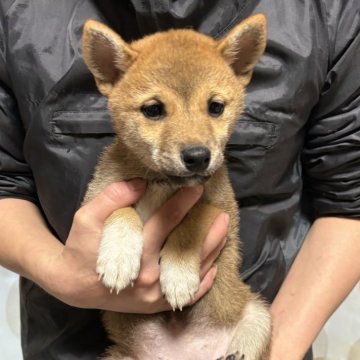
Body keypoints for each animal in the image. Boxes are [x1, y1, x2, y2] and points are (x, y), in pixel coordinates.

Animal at [82, 14, 270, 360]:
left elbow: (193, 219)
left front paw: (179, 275)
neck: (164, 184)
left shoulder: (222, 211)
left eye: (215, 107)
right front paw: (118, 257)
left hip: (257, 315)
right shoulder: (98, 196)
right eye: (153, 110)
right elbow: (123, 211)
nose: (197, 157)